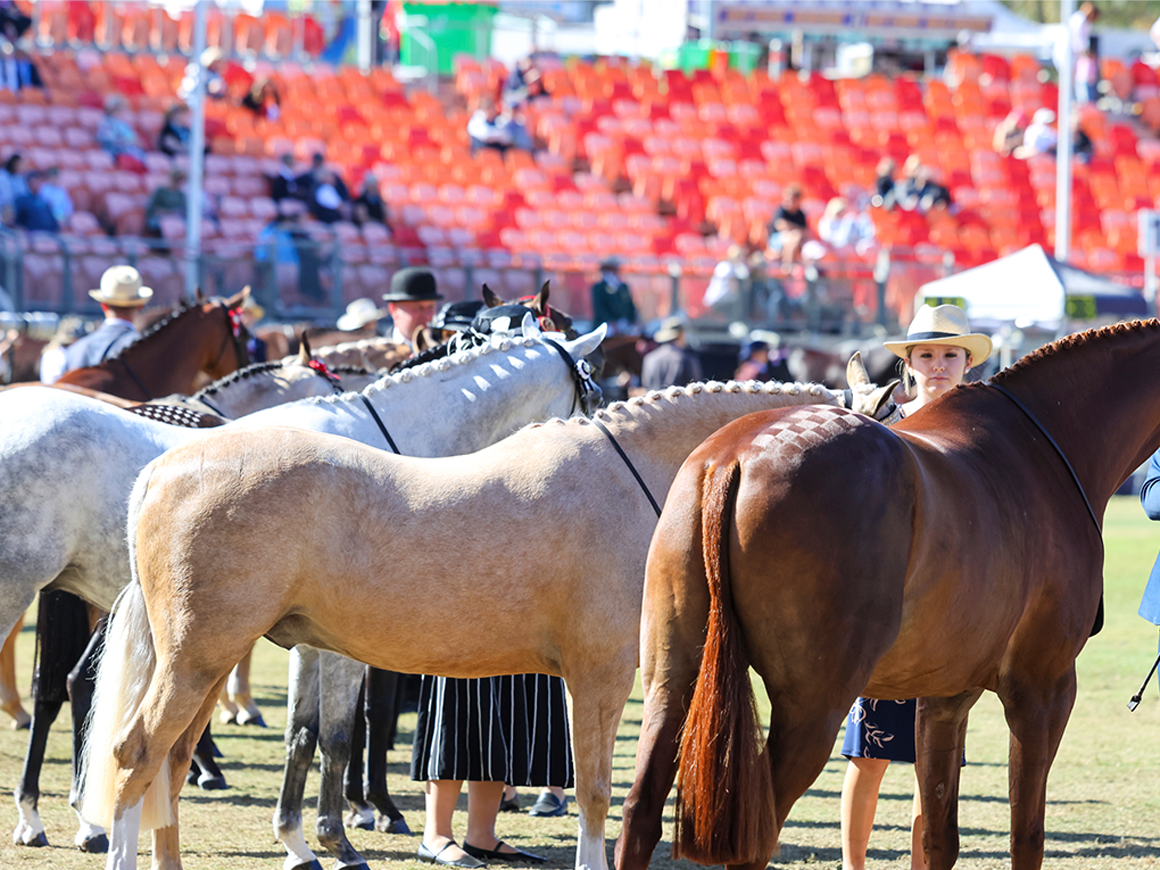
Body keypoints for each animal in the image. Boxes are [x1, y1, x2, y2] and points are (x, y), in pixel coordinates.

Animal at [79, 362, 895, 870]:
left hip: (208, 660)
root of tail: (163, 468)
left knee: (170, 764)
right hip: (197, 658)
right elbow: (596, 790)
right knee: (135, 754)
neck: (625, 479)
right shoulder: (600, 676)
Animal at [614, 319, 1160, 870]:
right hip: (812, 711)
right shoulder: (1043, 690)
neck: (1042, 447)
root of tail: (736, 455)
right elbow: (1026, 837)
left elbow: (939, 837)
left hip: (671, 681)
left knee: (640, 815)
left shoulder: (944, 696)